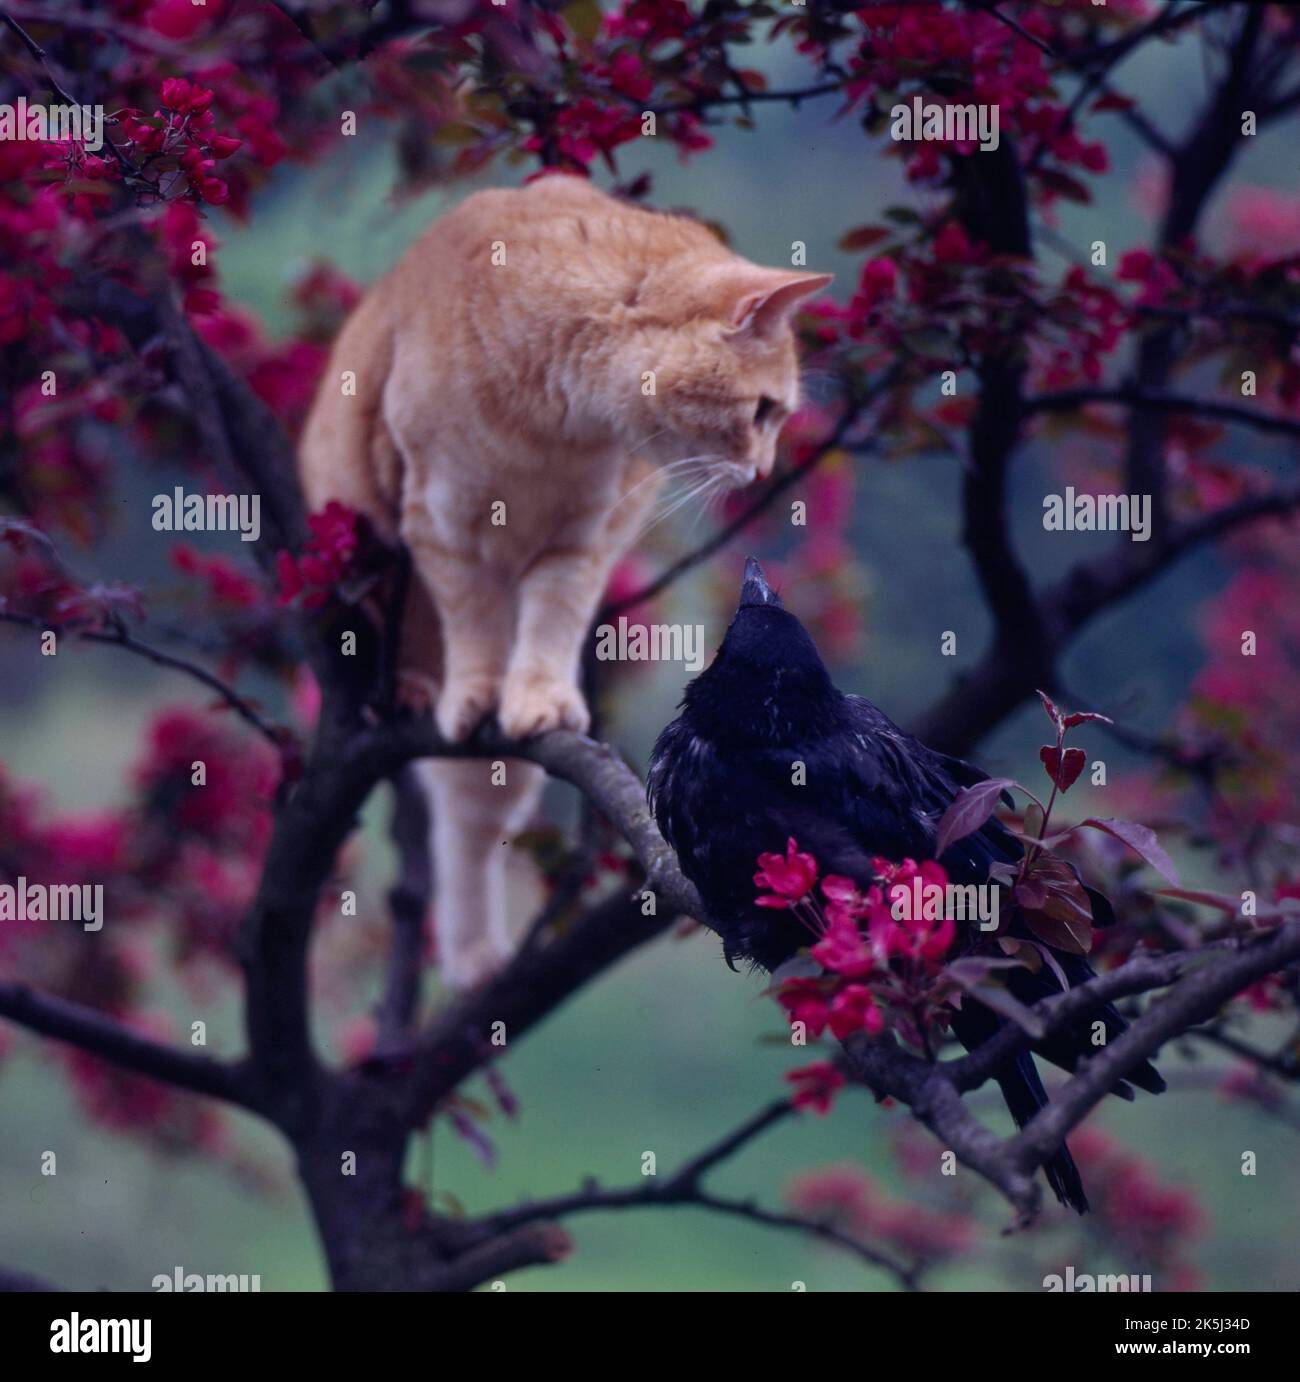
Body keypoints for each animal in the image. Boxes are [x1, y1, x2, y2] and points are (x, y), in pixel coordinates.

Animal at [299, 175, 828, 995]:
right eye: (765, 411)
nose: (765, 471)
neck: (555, 427)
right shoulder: (443, 527)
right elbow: (475, 627)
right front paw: (475, 691)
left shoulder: (579, 543)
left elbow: (547, 627)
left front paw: (538, 697)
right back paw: (418, 692)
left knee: (474, 822)